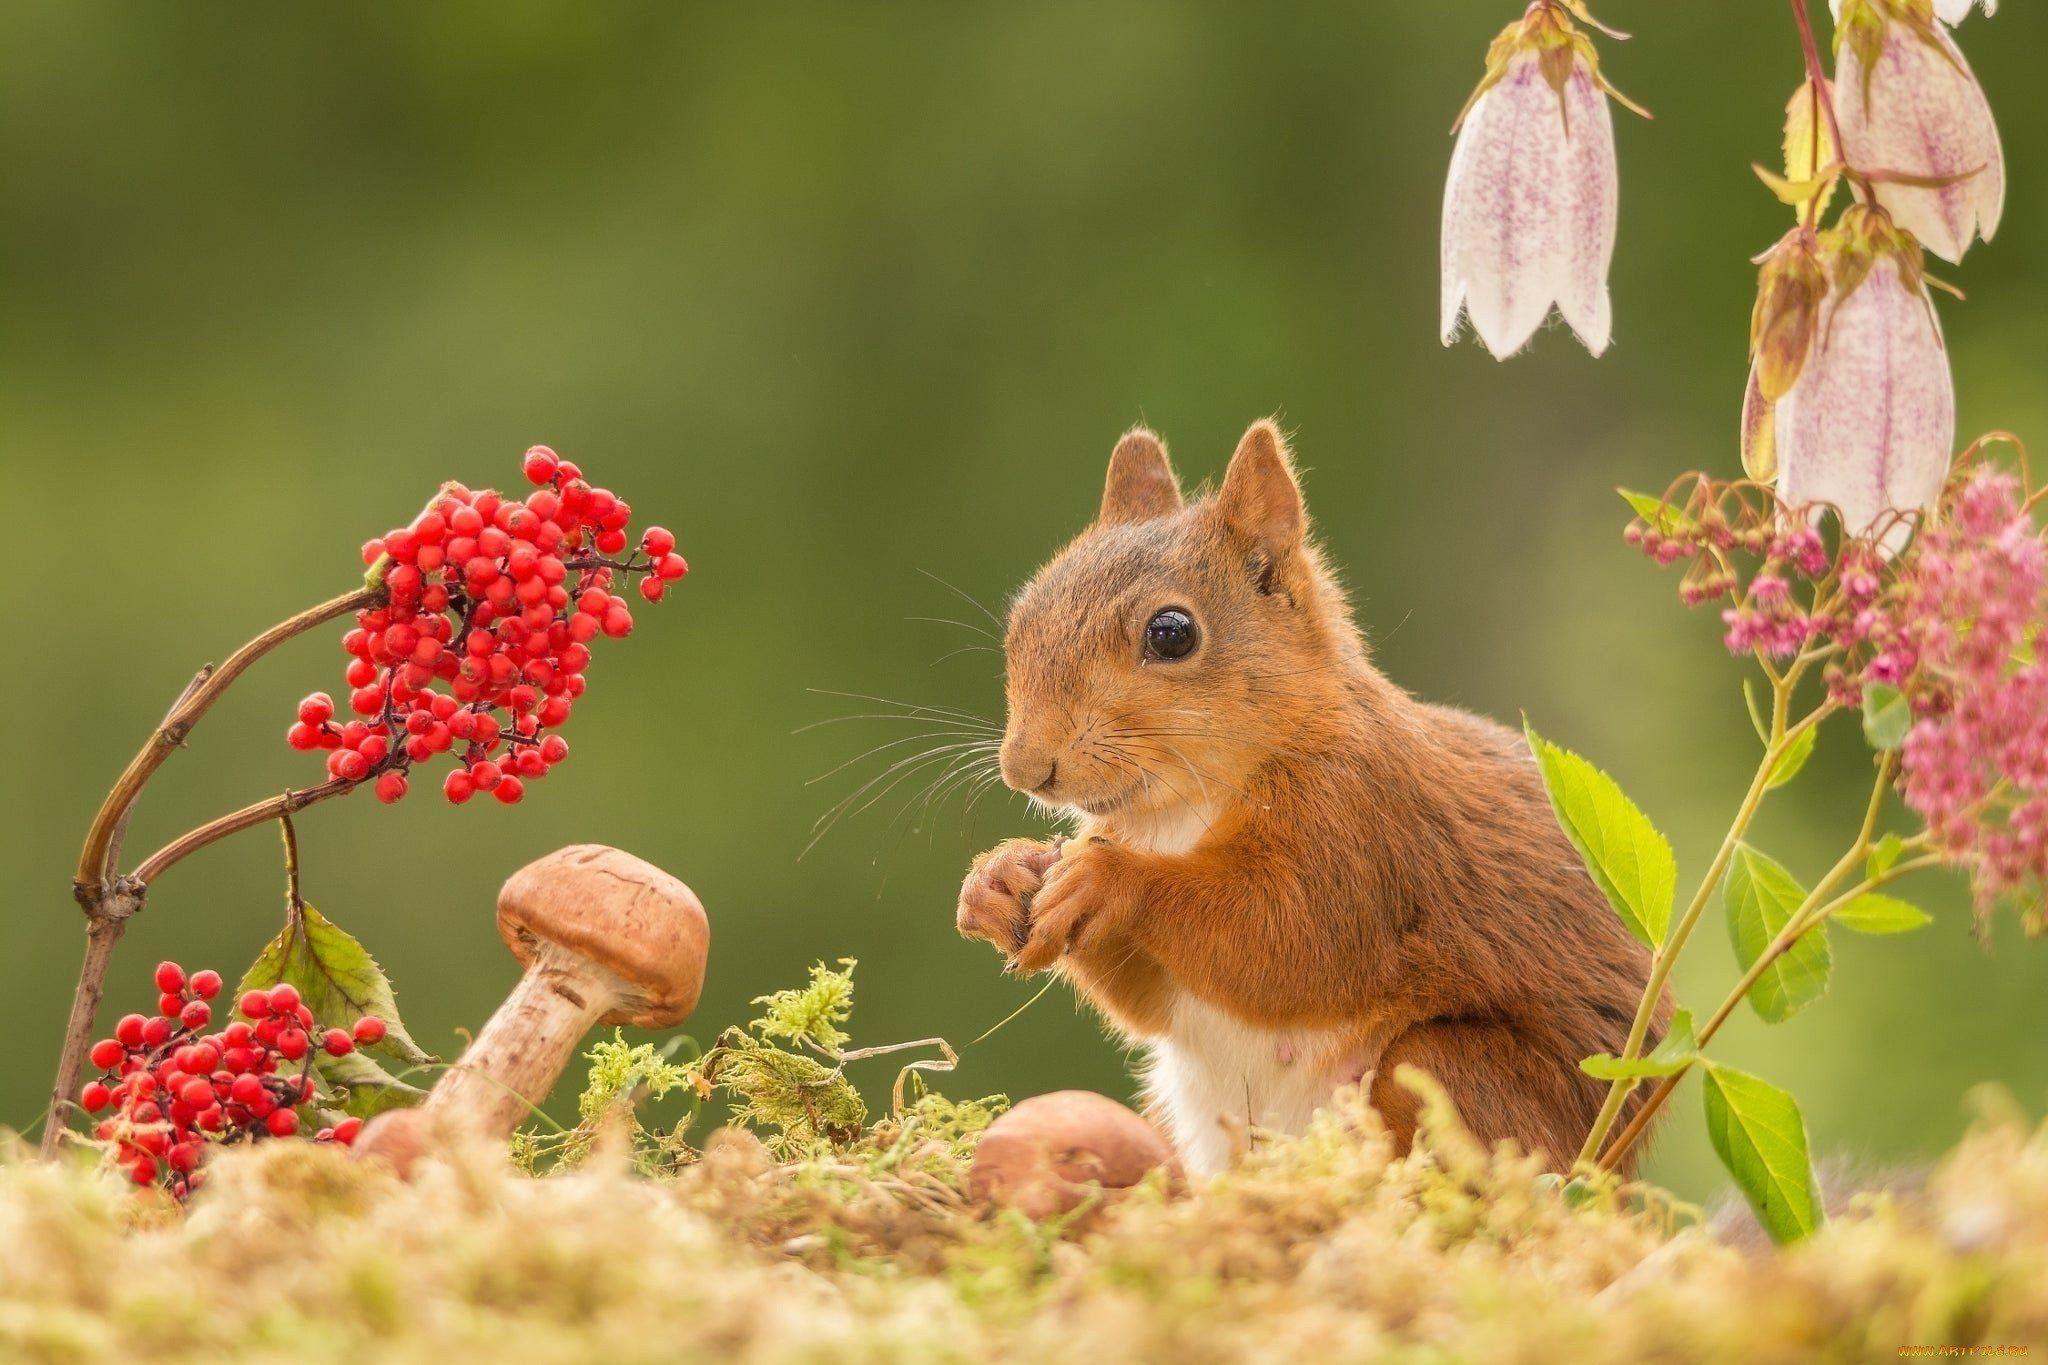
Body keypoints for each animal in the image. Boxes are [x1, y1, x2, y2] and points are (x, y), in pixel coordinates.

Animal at [950, 423, 1671, 1178]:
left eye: (1172, 633)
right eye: (1024, 616)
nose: (1026, 768)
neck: (1177, 812)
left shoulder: (1359, 824)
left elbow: (1290, 940)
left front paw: (1107, 878)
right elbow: (1152, 1003)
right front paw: (997, 879)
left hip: (1458, 1075)